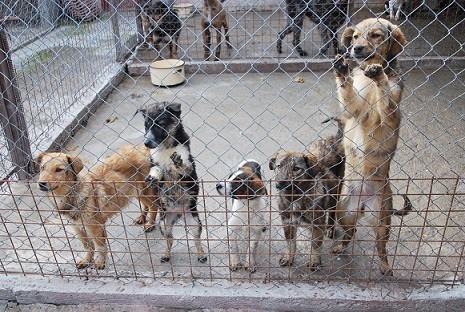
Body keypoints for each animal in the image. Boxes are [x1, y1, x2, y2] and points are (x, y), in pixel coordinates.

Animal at [135, 102, 206, 264]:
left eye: (159, 124)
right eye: (146, 126)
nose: (146, 143)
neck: (166, 147)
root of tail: (178, 212)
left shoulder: (188, 167)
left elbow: (184, 167)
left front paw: (178, 163)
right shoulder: (154, 162)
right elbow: (156, 170)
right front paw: (152, 178)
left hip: (195, 221)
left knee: (196, 239)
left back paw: (201, 254)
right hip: (164, 223)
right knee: (170, 239)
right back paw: (166, 255)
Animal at [268, 125, 344, 270]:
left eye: (296, 168)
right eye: (279, 166)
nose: (279, 184)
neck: (295, 197)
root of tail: (335, 138)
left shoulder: (318, 224)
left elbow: (315, 245)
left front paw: (314, 261)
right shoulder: (287, 222)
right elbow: (290, 243)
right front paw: (288, 258)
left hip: (338, 189)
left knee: (332, 212)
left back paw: (330, 229)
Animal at [330, 17, 410, 276]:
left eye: (376, 35)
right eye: (355, 37)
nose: (356, 49)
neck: (366, 79)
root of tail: (364, 202)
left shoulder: (387, 115)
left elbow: (384, 96)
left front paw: (379, 74)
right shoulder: (354, 108)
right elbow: (347, 91)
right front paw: (342, 69)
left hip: (383, 221)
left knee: (381, 246)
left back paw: (385, 266)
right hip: (343, 211)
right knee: (350, 232)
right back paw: (339, 247)